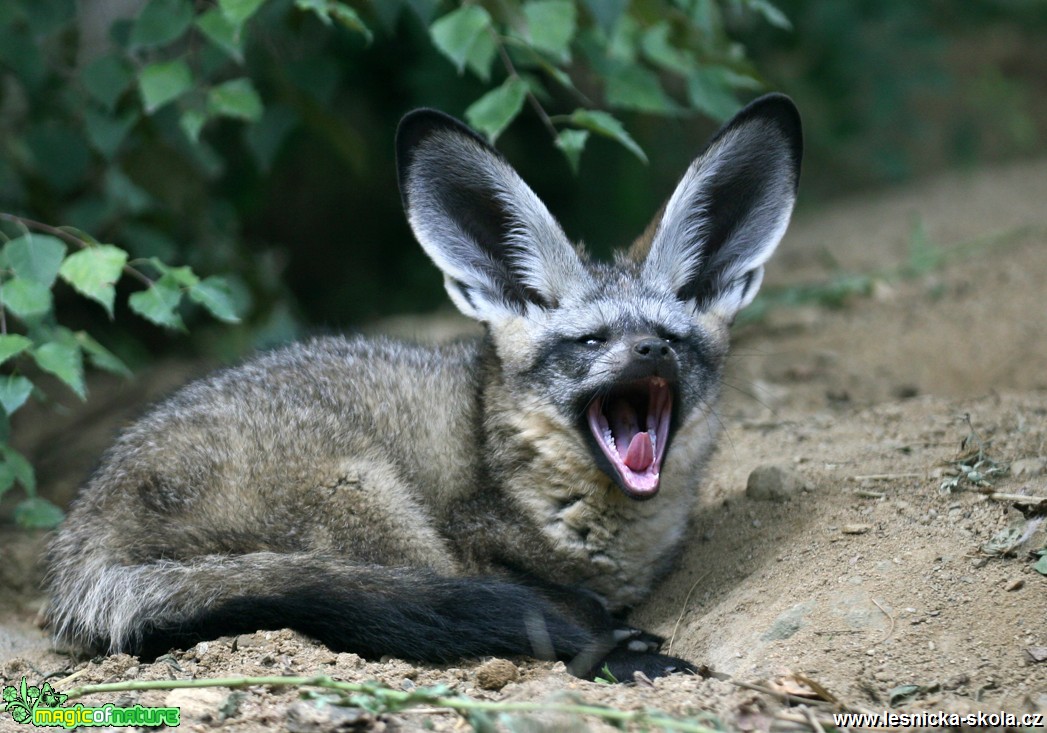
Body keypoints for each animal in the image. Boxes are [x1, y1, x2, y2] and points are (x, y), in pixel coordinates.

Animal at [45, 94, 799, 682]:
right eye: (591, 341)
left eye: (670, 338)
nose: (649, 352)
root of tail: (82, 546)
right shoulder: (475, 546)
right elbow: (543, 601)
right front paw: (608, 638)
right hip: (367, 493)